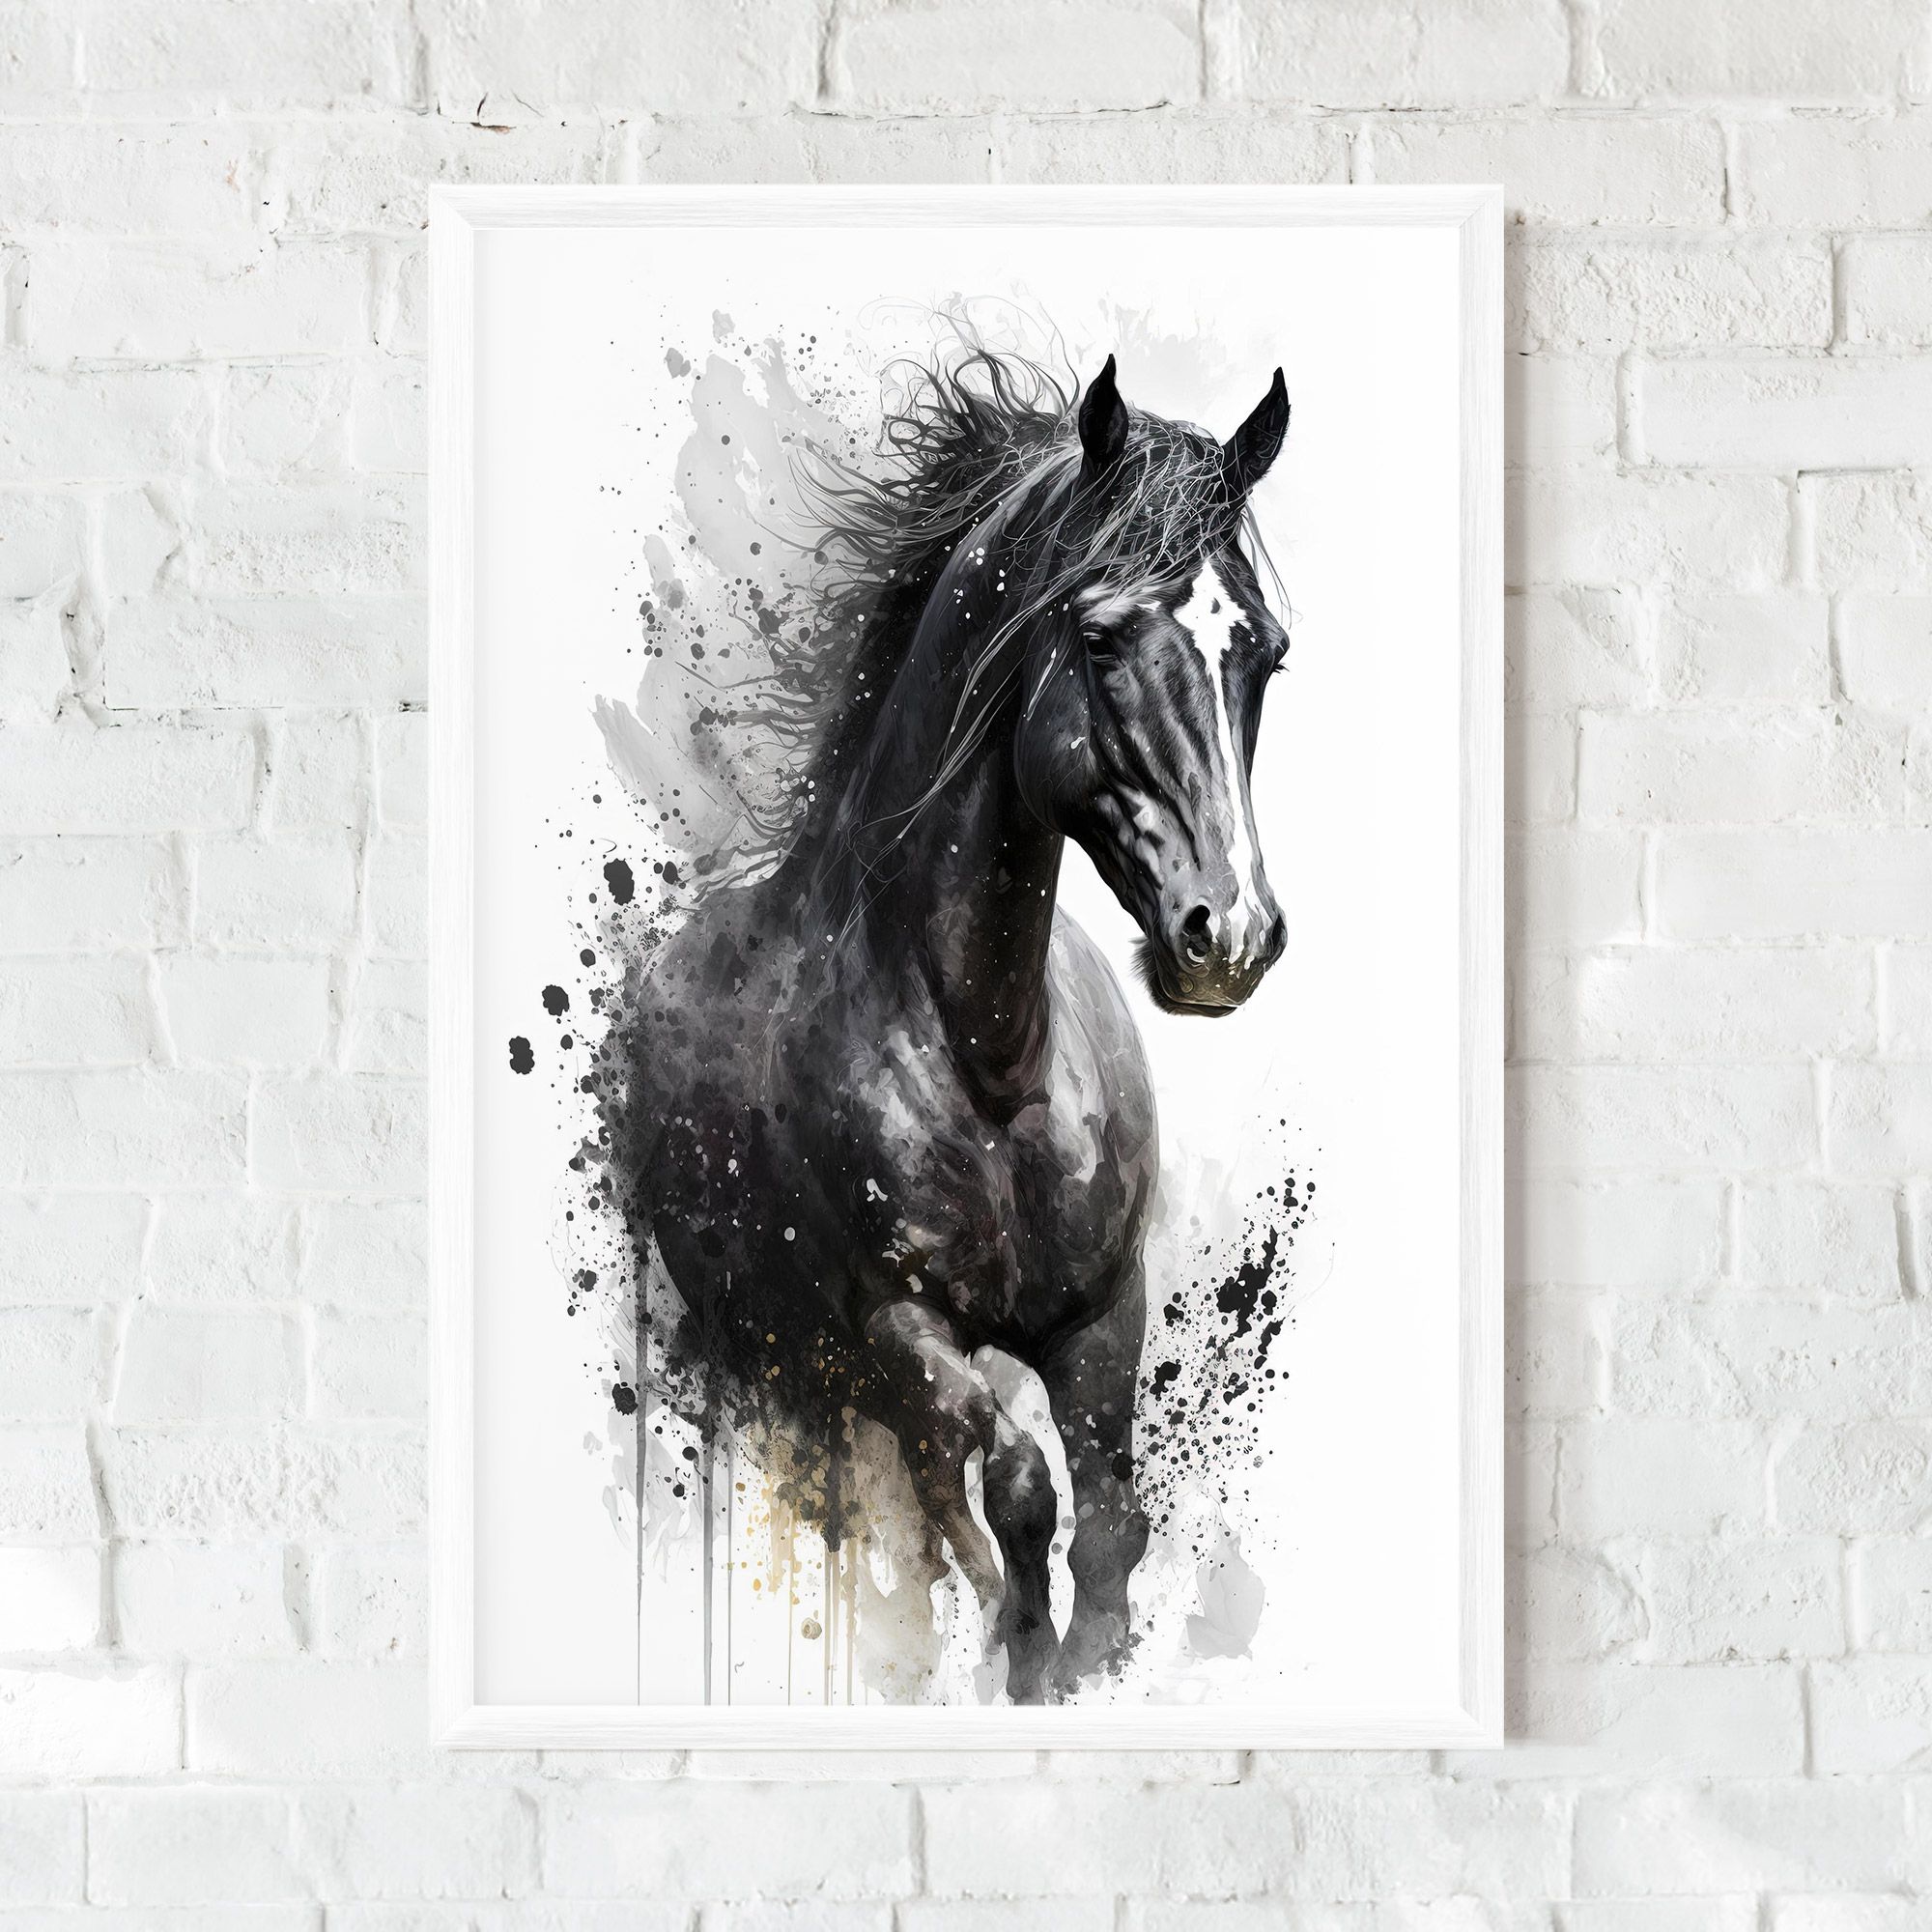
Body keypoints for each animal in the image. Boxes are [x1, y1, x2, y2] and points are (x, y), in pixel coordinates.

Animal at [609, 347, 1293, 1703]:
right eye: (1097, 635)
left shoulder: (1102, 1318)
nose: (1228, 935)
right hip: (778, 1356)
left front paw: (1081, 1661)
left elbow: (1111, 1528)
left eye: (1267, 653)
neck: (989, 1058)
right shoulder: (897, 1326)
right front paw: (1022, 1658)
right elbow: (1022, 1489)